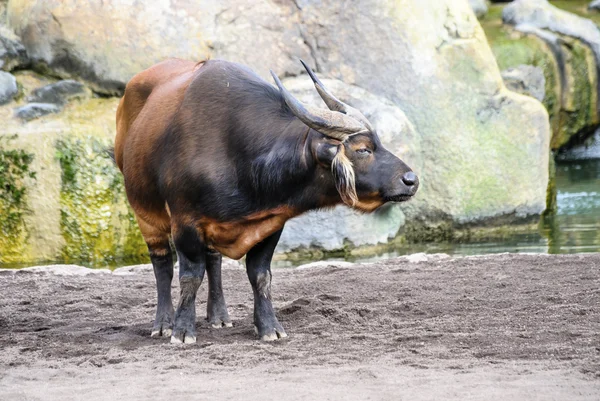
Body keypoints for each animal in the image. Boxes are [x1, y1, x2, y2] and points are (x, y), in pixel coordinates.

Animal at [115, 57, 420, 342]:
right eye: (363, 149)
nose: (411, 180)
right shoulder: (185, 222)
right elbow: (189, 276)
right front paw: (182, 331)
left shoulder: (269, 223)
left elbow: (260, 275)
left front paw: (269, 328)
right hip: (145, 215)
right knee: (162, 265)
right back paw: (163, 323)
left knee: (213, 260)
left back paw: (219, 316)